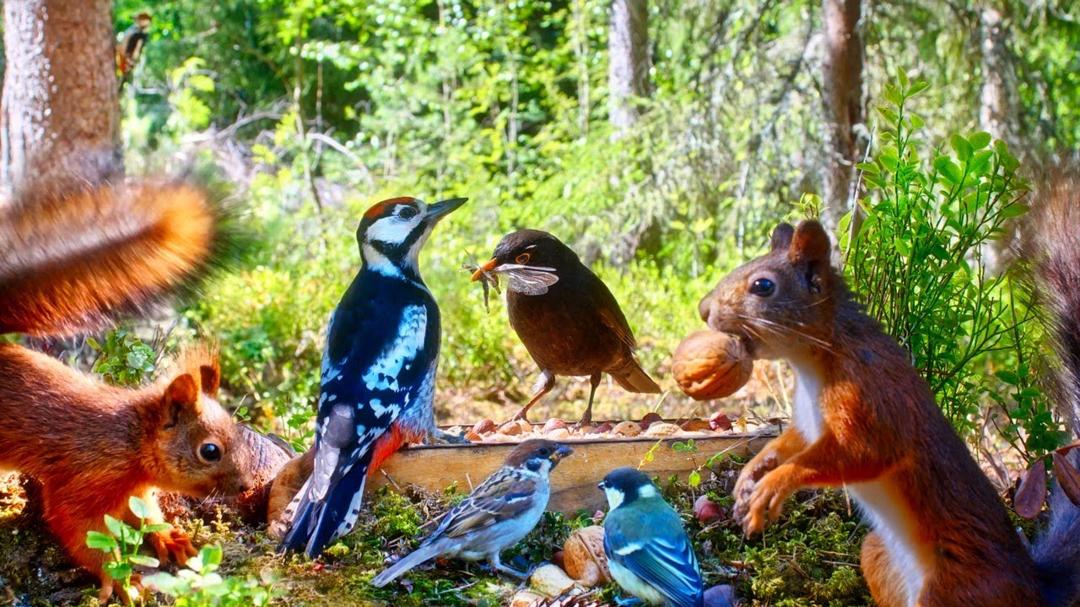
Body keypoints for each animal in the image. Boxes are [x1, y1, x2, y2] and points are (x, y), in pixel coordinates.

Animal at [0, 175, 255, 602]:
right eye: (210, 451)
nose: (247, 487)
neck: (130, 441)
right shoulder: (85, 478)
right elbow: (77, 528)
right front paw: (124, 581)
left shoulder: (134, 492)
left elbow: (145, 513)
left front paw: (170, 537)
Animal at [697, 183, 1080, 606]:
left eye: (763, 286)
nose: (704, 309)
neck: (815, 360)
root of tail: (1034, 588)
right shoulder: (807, 422)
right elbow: (789, 442)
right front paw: (753, 472)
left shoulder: (873, 394)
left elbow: (864, 452)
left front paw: (774, 484)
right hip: (878, 555)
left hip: (954, 591)